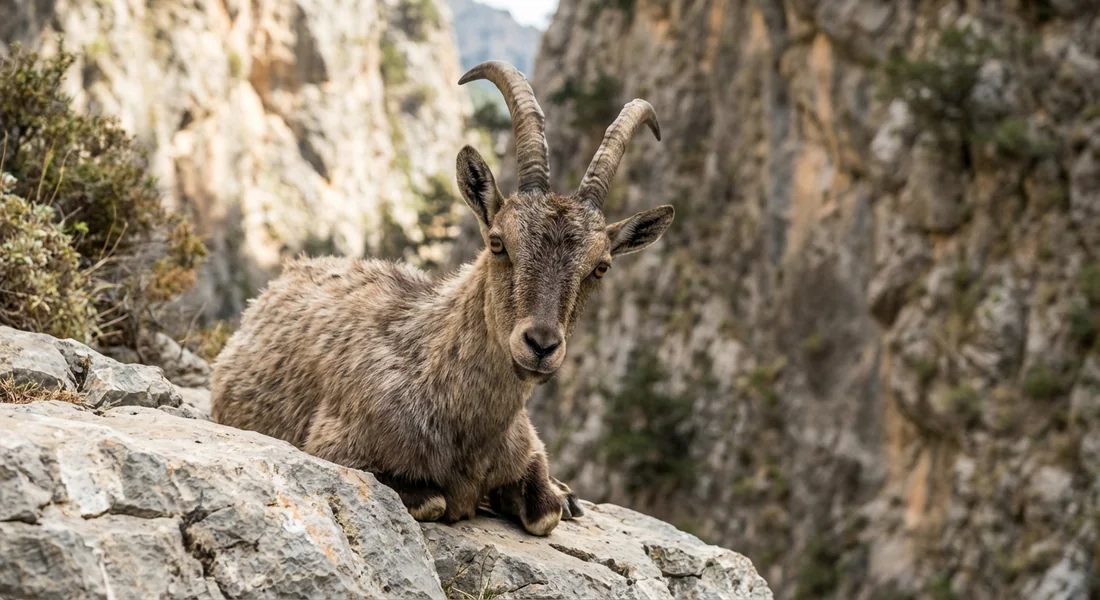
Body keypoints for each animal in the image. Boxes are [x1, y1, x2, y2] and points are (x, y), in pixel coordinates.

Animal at [210, 61, 674, 536]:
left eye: (601, 267)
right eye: (497, 242)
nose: (541, 345)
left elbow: (544, 512)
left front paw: (555, 494)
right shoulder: (335, 446)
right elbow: (434, 501)